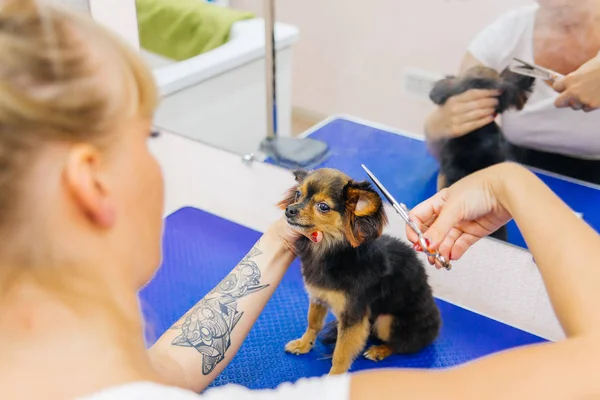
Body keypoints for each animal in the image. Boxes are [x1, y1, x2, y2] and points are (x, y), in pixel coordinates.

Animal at [278, 168, 440, 376]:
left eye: (323, 207)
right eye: (298, 194)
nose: (290, 210)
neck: (329, 251)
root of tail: (436, 325)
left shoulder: (353, 316)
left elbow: (341, 352)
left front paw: (334, 377)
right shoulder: (318, 298)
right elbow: (313, 324)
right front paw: (304, 344)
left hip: (386, 321)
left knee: (400, 343)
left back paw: (379, 350)